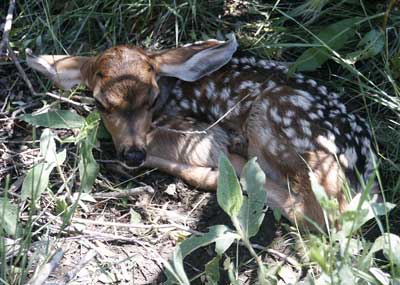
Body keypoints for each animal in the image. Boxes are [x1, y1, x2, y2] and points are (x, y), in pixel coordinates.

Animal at [25, 33, 378, 229]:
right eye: (100, 103)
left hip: (273, 121)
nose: (133, 154)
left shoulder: (202, 132)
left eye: (152, 98)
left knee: (315, 214)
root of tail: (360, 173)